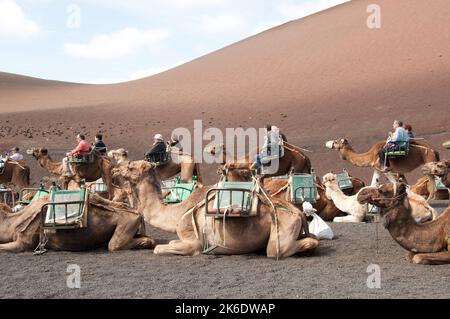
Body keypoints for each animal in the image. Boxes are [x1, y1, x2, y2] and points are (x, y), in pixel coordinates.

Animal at [110, 162, 318, 260]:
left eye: (131, 166)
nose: (114, 170)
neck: (177, 212)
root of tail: (298, 213)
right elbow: (168, 243)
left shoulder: (193, 243)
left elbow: (159, 248)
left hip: (281, 229)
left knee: (278, 249)